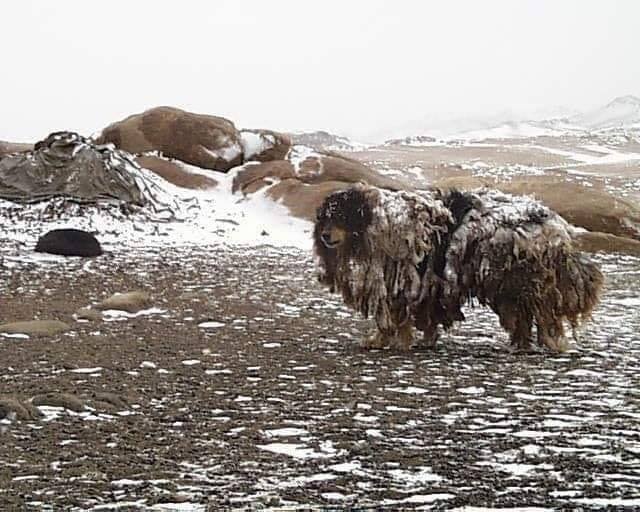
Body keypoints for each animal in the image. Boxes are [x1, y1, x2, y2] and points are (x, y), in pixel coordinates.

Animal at [316, 183, 604, 352]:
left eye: (341, 216)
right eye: (325, 217)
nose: (325, 236)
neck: (381, 221)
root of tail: (557, 228)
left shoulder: (405, 281)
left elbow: (393, 316)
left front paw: (386, 340)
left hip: (527, 283)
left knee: (543, 316)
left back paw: (547, 344)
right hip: (512, 287)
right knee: (525, 318)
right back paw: (520, 344)